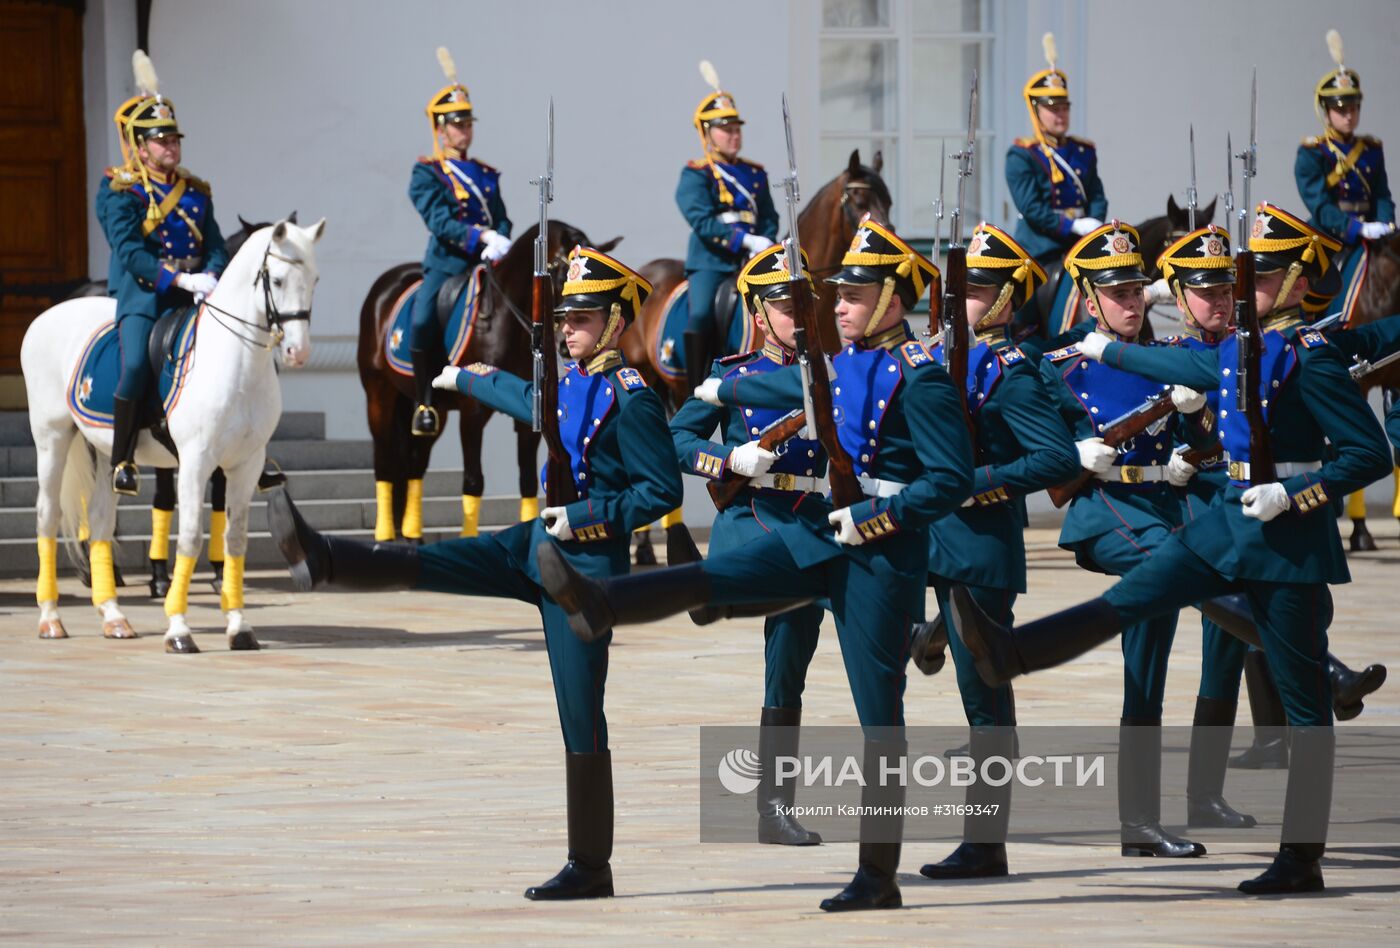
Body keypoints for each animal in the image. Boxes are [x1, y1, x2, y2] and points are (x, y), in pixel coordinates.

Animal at [20, 218, 326, 655]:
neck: (237, 360)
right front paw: (179, 629)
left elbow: (235, 539)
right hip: (52, 438)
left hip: (107, 450)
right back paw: (50, 617)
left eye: (314, 279)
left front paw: (239, 626)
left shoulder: (246, 465)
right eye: (279, 280)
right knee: (47, 516)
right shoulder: (196, 462)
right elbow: (190, 539)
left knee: (99, 520)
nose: (298, 352)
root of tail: (48, 314)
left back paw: (113, 615)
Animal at [358, 215, 616, 540]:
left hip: (430, 409)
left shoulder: (530, 418)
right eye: (561, 276)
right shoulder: (473, 414)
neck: (505, 321)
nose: (563, 345)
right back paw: (384, 536)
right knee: (384, 461)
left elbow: (527, 481)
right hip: (378, 395)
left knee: (415, 463)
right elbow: (473, 480)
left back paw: (412, 536)